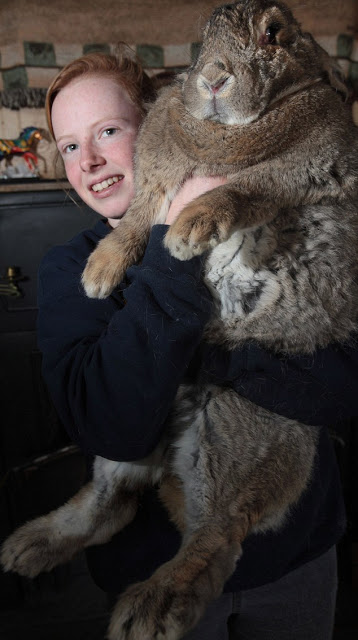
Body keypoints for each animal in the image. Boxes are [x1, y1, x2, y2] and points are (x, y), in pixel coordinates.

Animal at [2, 1, 358, 640]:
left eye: (275, 34)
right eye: (201, 38)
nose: (214, 79)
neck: (224, 133)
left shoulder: (302, 172)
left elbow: (247, 188)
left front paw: (191, 229)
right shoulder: (155, 185)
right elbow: (136, 220)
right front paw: (98, 274)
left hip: (237, 424)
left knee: (218, 536)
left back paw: (151, 608)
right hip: (130, 442)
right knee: (112, 504)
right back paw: (28, 547)